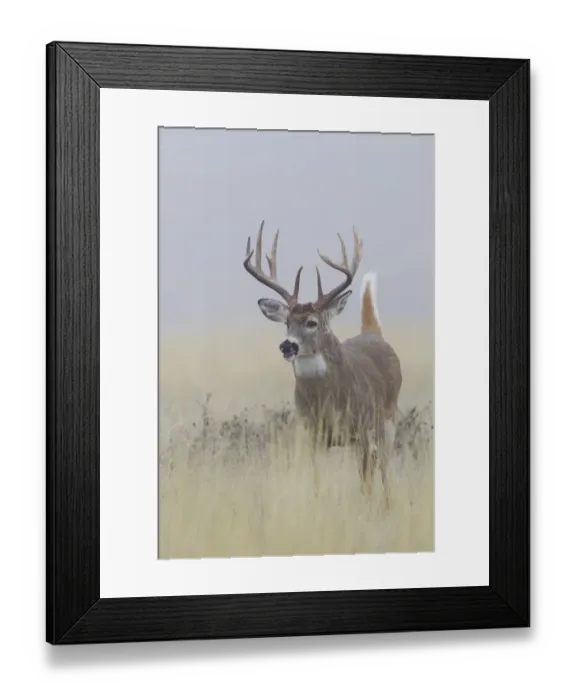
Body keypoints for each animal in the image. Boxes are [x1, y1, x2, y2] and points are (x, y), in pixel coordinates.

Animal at [242, 220, 403, 492]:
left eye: (312, 322)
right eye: (286, 322)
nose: (287, 346)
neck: (327, 400)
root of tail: (373, 333)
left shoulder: (361, 427)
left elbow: (366, 479)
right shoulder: (313, 433)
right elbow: (317, 478)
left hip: (387, 416)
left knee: (384, 467)